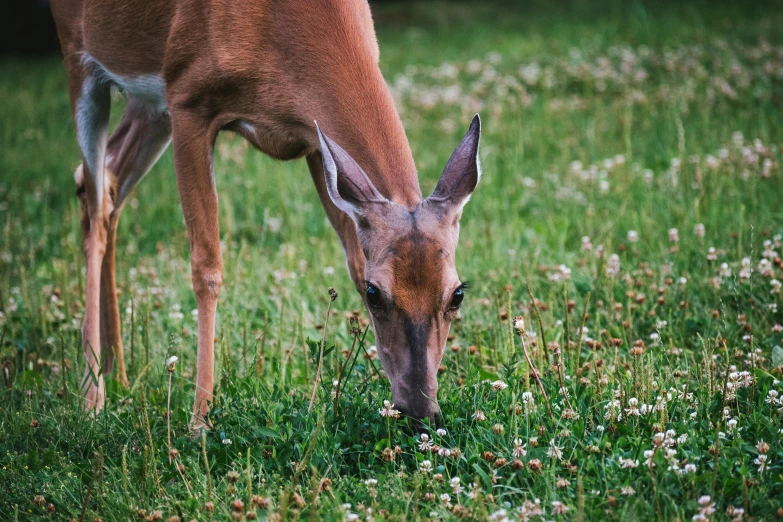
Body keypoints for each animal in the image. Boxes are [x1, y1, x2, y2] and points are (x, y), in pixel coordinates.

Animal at [52, 0, 480, 428]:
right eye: (376, 294)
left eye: (457, 294)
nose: (421, 413)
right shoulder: (186, 96)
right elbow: (207, 269)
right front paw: (200, 420)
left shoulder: (317, 144)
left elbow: (355, 261)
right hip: (81, 61)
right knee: (94, 202)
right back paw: (92, 396)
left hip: (148, 105)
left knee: (108, 181)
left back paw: (117, 373)